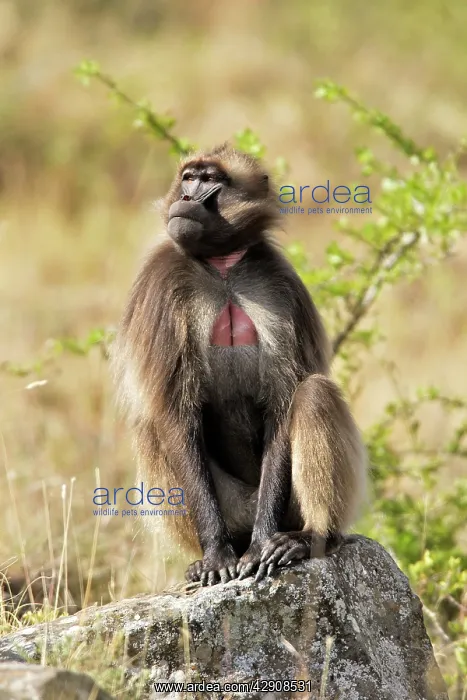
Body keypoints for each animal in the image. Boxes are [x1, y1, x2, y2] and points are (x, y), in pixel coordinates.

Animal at [113, 144, 366, 586]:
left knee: (314, 393)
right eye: (188, 177)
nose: (185, 198)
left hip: (286, 509)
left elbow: (284, 403)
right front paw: (216, 555)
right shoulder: (161, 286)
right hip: (230, 508)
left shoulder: (280, 285)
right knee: (151, 426)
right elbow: (175, 413)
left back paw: (310, 537)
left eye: (211, 179)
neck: (223, 267)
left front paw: (267, 544)